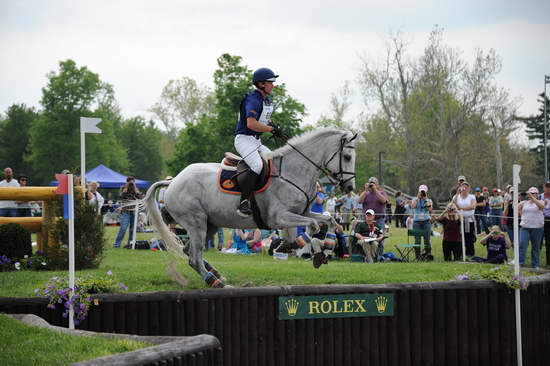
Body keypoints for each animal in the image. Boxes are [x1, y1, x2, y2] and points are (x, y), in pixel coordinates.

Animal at [142, 127, 358, 288]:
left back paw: (216, 274)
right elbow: (313, 226)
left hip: (209, 225)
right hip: (196, 224)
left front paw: (325, 249)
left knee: (189, 251)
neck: (294, 171)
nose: (349, 188)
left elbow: (328, 220)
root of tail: (173, 181)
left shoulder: (301, 212)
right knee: (194, 257)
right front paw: (308, 248)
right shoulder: (279, 217)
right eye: (347, 156)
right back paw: (216, 282)